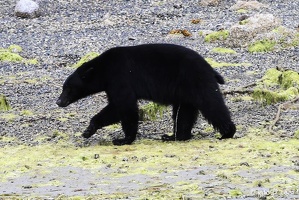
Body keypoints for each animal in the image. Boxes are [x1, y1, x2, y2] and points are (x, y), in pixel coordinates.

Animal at [56, 43, 237, 145]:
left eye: (68, 88)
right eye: (63, 87)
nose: (59, 101)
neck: (103, 69)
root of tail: (210, 67)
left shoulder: (119, 77)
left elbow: (124, 106)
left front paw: (123, 139)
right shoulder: (111, 84)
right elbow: (114, 107)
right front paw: (88, 130)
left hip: (195, 80)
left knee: (211, 104)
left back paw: (228, 132)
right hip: (185, 91)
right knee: (184, 112)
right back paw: (175, 136)